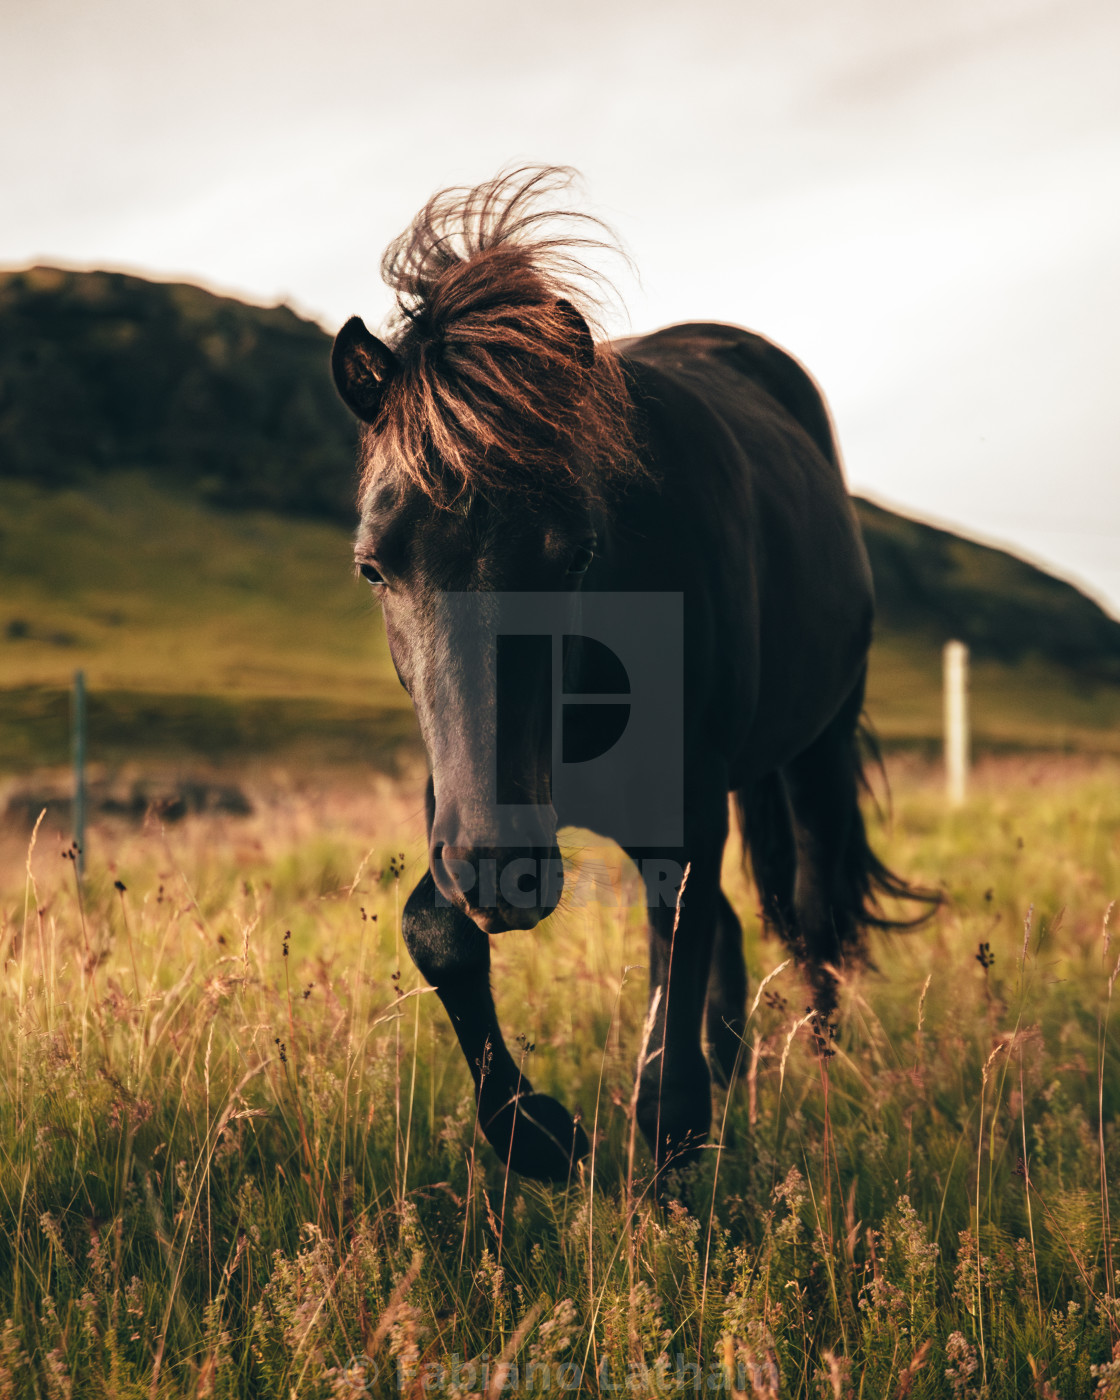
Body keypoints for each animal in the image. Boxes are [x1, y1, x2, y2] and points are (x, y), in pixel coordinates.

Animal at [333, 169, 935, 1187]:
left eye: (577, 554)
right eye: (375, 567)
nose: (505, 872)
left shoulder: (680, 817)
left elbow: (668, 1058)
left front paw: (668, 1192)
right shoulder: (457, 806)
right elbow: (436, 932)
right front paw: (540, 1133)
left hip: (814, 751)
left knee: (814, 920)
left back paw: (816, 1075)